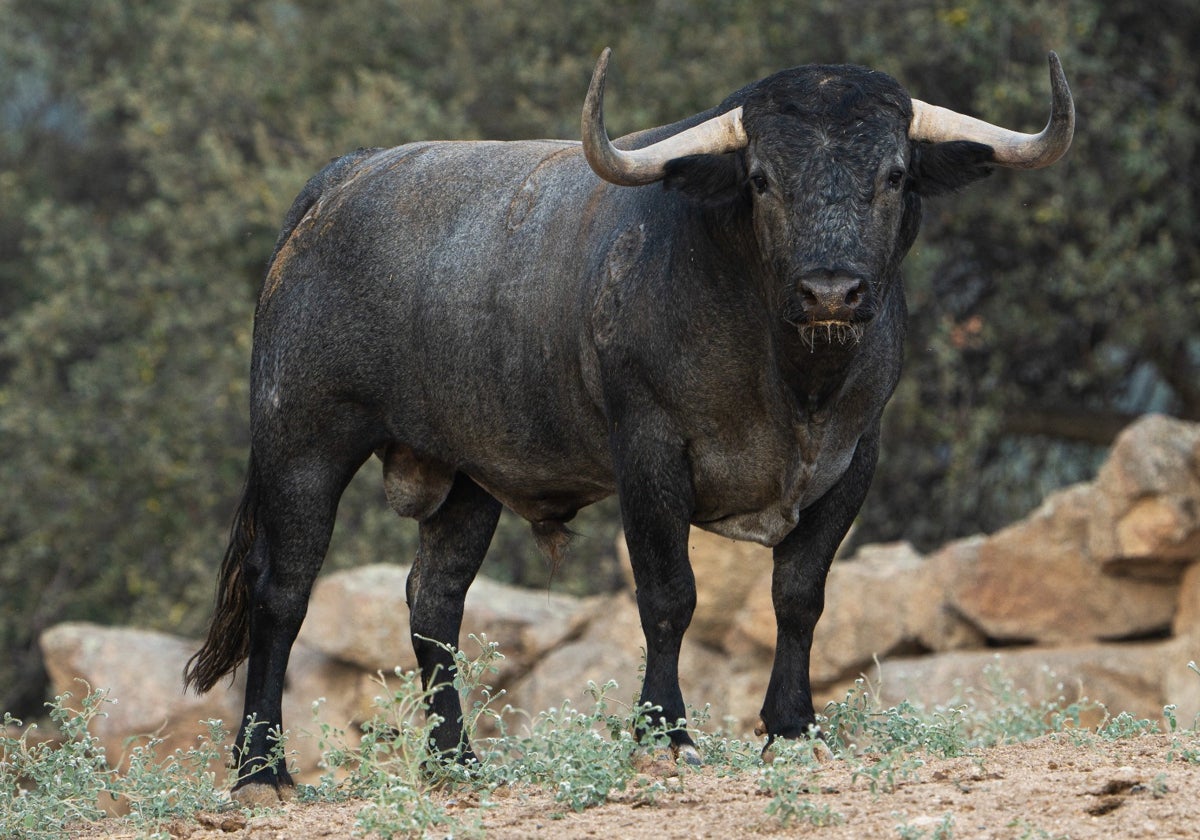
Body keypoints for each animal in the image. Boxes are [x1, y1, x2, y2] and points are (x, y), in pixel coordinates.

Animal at [189, 44, 1080, 801]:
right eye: (762, 178)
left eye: (893, 174)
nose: (832, 290)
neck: (792, 382)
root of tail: (345, 179)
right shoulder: (649, 452)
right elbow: (668, 595)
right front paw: (666, 736)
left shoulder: (854, 459)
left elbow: (799, 595)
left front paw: (792, 729)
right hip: (302, 445)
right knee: (283, 593)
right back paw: (263, 770)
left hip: (467, 477)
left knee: (433, 602)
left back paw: (456, 761)